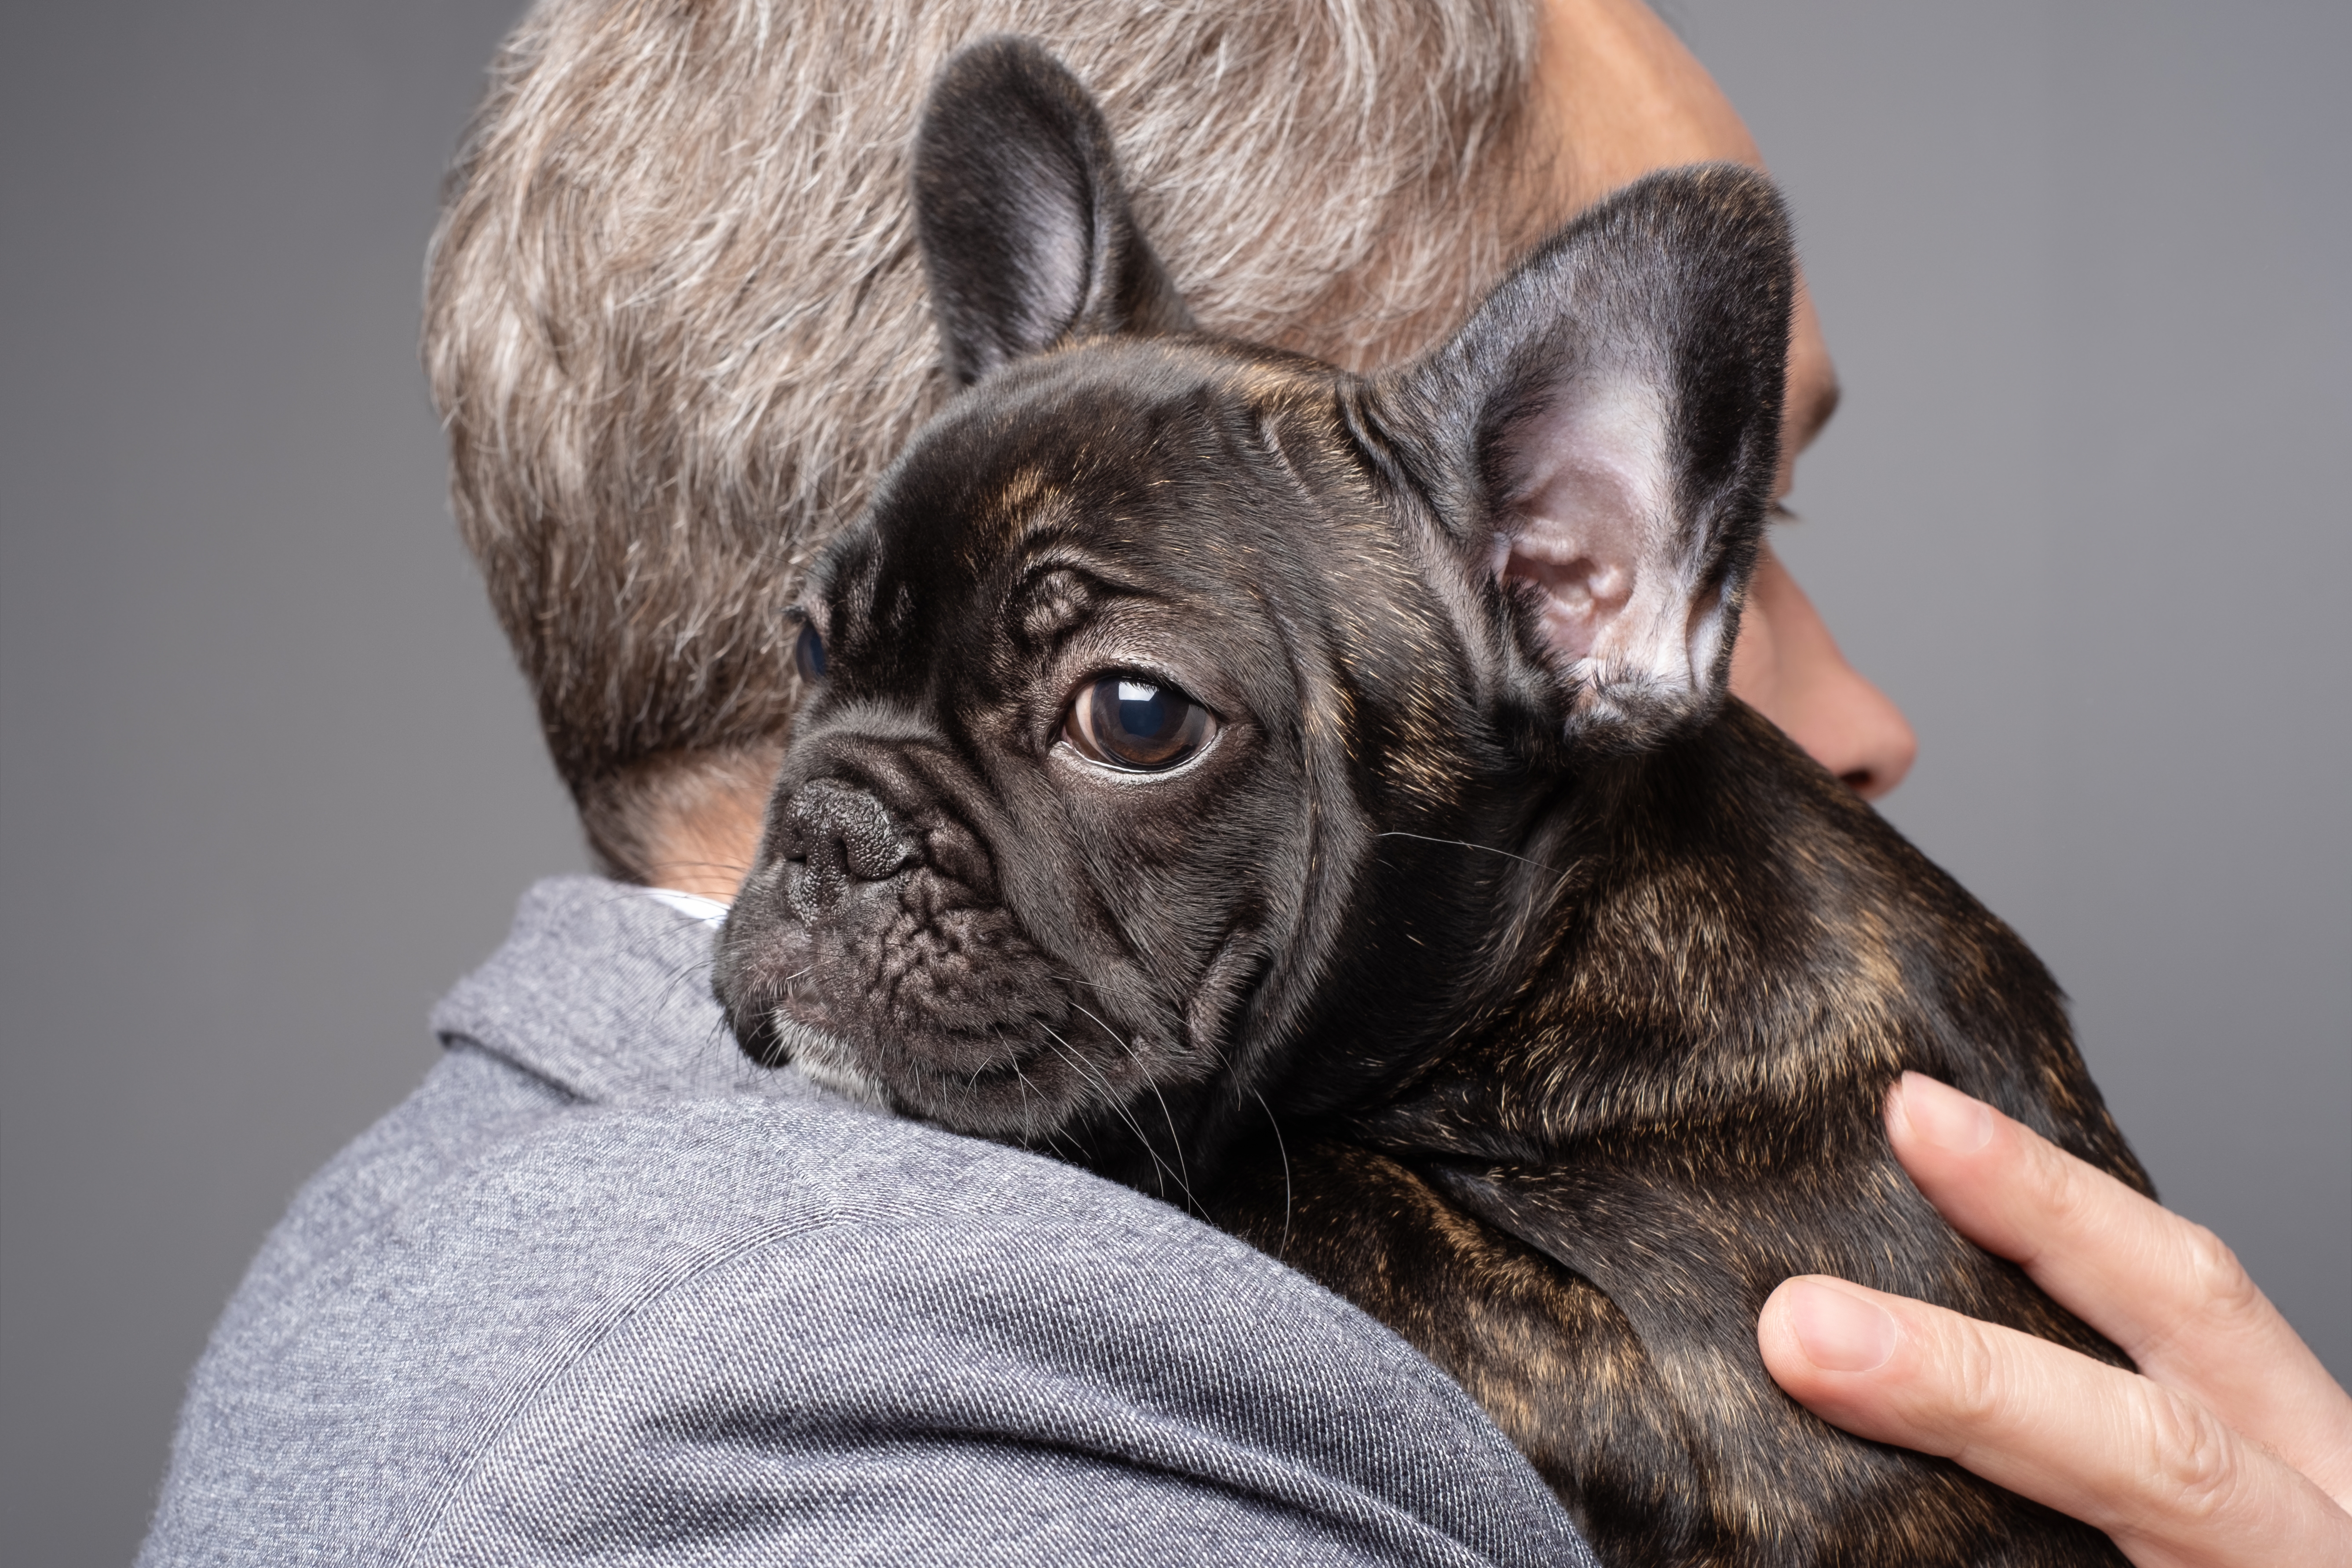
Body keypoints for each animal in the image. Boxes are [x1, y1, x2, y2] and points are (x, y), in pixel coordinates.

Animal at [710, 40, 2154, 1568]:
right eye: (812, 647)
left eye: (1135, 716)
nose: (830, 828)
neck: (1580, 961)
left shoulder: (1734, 1402)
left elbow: (1316, 1180)